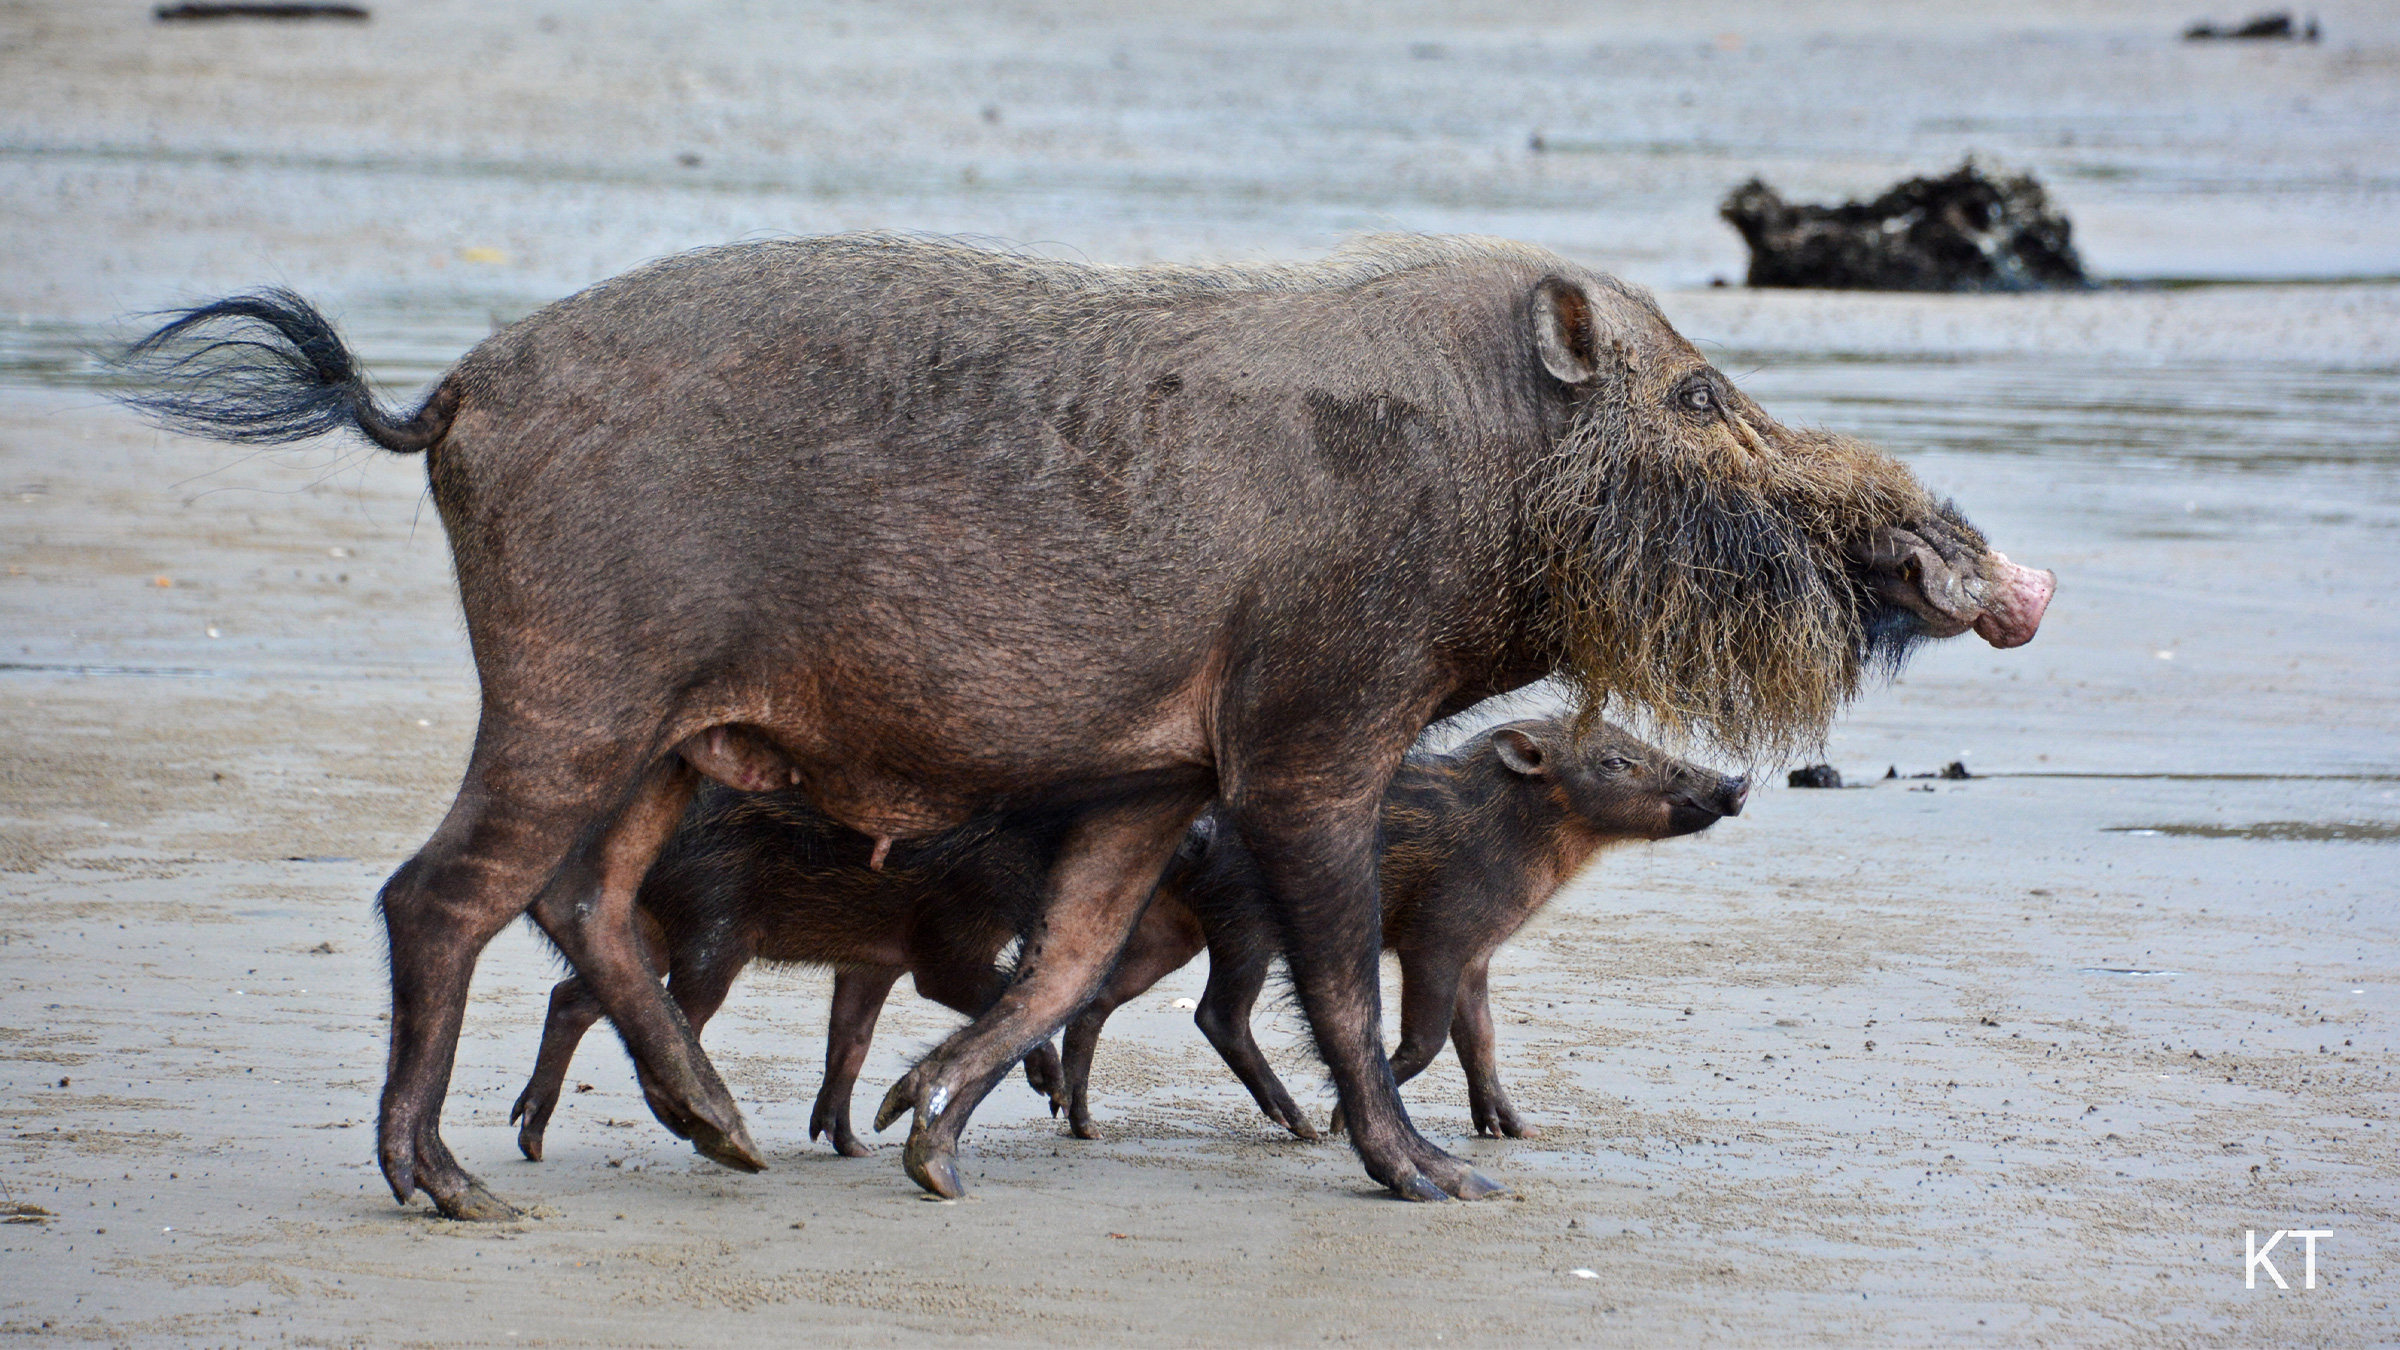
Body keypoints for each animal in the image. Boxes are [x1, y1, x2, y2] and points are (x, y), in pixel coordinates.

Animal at [121, 230, 2054, 1210]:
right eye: (1705, 394)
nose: (1996, 572)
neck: (1479, 477)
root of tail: (444, 392)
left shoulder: (1146, 772)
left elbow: (1061, 964)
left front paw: (928, 1148)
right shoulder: (1305, 726)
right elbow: (1339, 973)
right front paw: (1449, 1183)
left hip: (669, 736)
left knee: (580, 902)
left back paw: (733, 1144)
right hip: (574, 684)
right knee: (440, 892)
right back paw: (459, 1190)